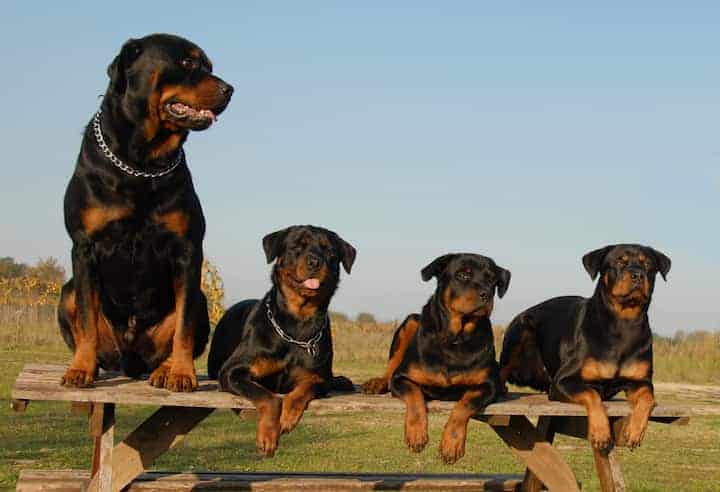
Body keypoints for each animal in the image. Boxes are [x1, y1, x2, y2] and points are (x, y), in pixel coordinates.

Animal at [59, 32, 233, 390]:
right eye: (187, 62)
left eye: (209, 66)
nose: (229, 90)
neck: (141, 164)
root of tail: (130, 362)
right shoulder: (84, 247)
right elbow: (86, 316)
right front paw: (80, 369)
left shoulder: (187, 249)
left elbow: (183, 326)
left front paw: (181, 373)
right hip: (66, 293)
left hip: (201, 300)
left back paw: (165, 370)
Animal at [207, 226, 356, 458]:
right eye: (296, 246)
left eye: (330, 251)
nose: (314, 262)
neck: (297, 325)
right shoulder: (231, 372)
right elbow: (268, 396)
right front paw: (268, 436)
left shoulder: (318, 378)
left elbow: (304, 389)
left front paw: (287, 416)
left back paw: (341, 380)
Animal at [362, 254, 510, 466]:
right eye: (463, 275)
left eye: (492, 280)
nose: (486, 294)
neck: (456, 338)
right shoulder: (402, 378)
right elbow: (414, 394)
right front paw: (416, 434)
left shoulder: (487, 385)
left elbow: (464, 404)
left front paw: (451, 444)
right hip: (411, 321)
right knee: (391, 366)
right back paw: (377, 383)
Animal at [498, 244, 672, 452]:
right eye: (619, 262)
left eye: (648, 265)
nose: (638, 275)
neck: (623, 323)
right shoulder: (563, 381)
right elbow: (591, 394)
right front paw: (601, 432)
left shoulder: (641, 381)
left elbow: (648, 398)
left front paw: (635, 431)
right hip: (521, 329)